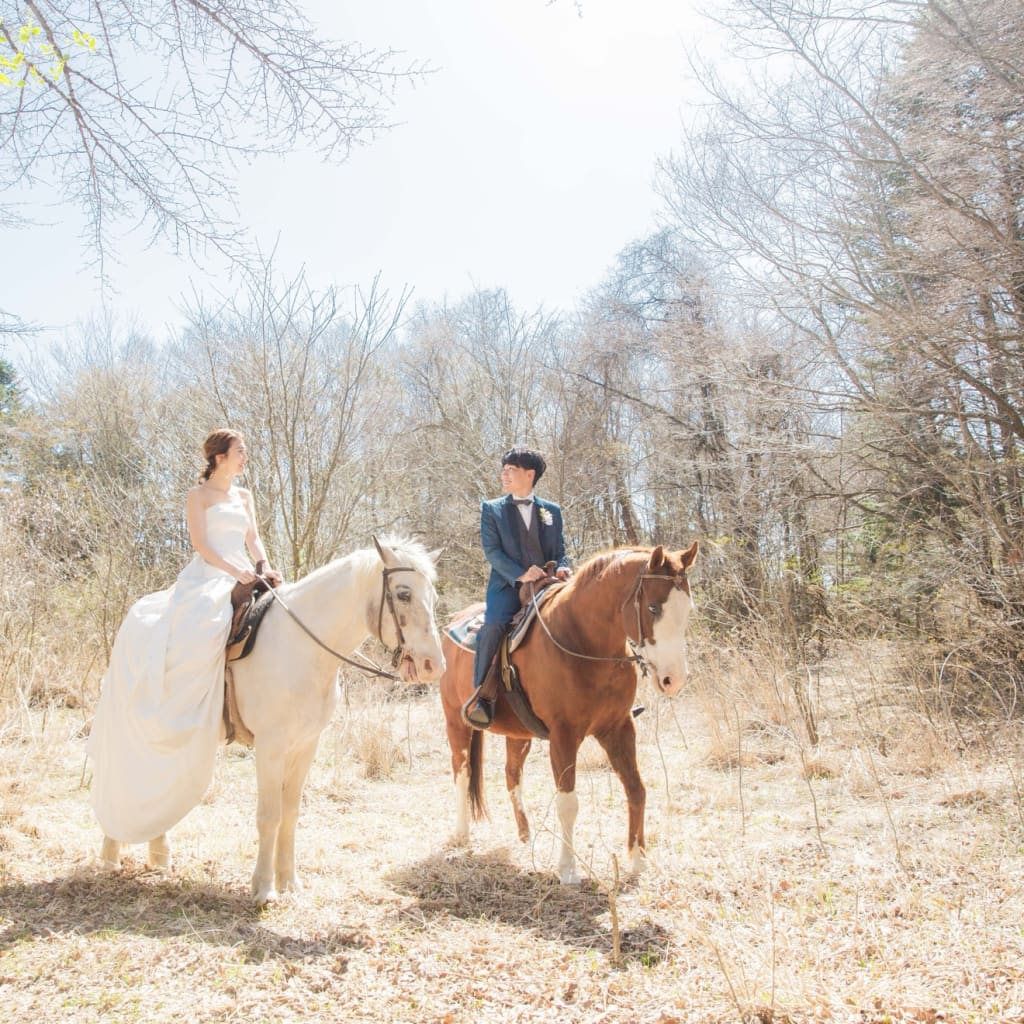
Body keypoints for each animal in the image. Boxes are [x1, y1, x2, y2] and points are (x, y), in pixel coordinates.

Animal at [98, 536, 444, 905]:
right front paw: (264, 887)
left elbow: (290, 814)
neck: (301, 648)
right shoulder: (270, 747)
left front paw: (289, 880)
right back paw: (109, 855)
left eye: (433, 597)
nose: (433, 666)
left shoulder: (306, 745)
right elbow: (269, 816)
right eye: (404, 594)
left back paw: (159, 854)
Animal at [436, 540, 700, 884]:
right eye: (653, 608)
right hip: (456, 722)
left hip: (518, 734)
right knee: (462, 771)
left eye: (687, 608)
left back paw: (525, 835)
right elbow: (568, 802)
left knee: (511, 774)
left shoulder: (619, 728)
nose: (674, 680)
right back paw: (461, 833)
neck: (585, 640)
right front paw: (567, 869)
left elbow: (636, 789)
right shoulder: (564, 736)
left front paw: (638, 860)